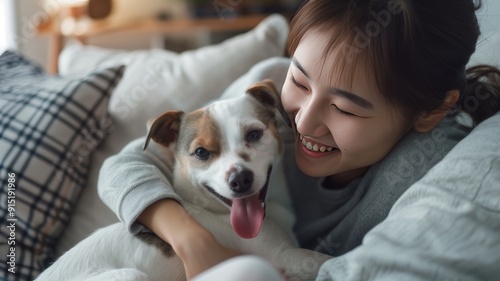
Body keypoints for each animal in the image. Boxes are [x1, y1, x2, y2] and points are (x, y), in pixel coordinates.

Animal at [36, 80, 332, 280]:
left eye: (254, 134)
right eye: (201, 152)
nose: (239, 179)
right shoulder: (288, 257)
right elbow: (324, 259)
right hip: (132, 276)